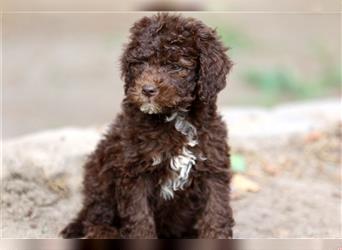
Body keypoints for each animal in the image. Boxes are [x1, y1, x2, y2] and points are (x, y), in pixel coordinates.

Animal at [60, 13, 234, 238]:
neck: (174, 119)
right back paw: (103, 232)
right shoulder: (134, 171)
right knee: (96, 215)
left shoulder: (213, 167)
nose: (148, 90)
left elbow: (216, 212)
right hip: (99, 171)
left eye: (176, 67)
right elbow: (139, 217)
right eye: (140, 64)